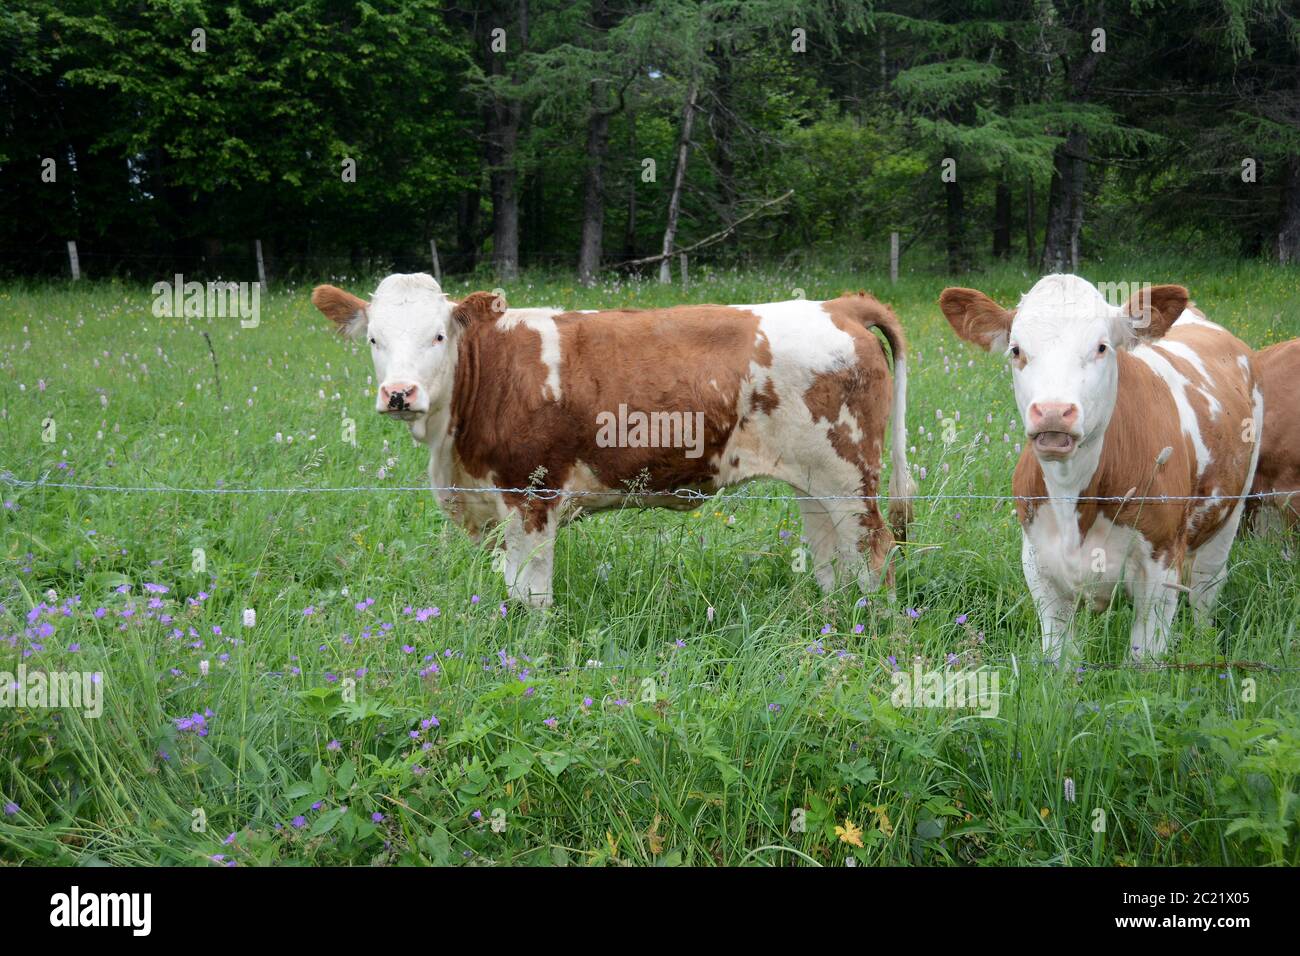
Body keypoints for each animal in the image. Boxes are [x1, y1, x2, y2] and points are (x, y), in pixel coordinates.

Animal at [312, 273, 915, 608]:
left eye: (438, 335)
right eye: (374, 339)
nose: (399, 393)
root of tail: (838, 305)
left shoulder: (531, 495)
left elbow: (530, 595)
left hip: (849, 477)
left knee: (874, 554)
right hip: (813, 481)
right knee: (832, 561)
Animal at [941, 278, 1263, 658]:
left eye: (1101, 347)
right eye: (1016, 350)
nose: (1053, 412)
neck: (1073, 497)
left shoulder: (1161, 569)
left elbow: (1144, 658)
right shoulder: (1038, 568)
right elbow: (1059, 657)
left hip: (1232, 509)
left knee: (1205, 588)